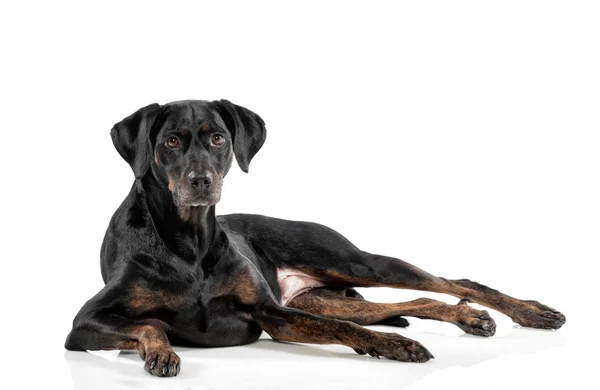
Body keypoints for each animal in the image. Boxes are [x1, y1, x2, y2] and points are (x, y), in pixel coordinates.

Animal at [64, 99, 564, 376]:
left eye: (218, 138)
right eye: (170, 141)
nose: (200, 181)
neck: (189, 240)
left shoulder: (271, 312)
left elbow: (347, 331)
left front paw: (395, 346)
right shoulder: (84, 323)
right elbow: (149, 323)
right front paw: (162, 353)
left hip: (348, 260)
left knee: (452, 281)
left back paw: (531, 312)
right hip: (319, 298)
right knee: (411, 300)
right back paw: (470, 318)